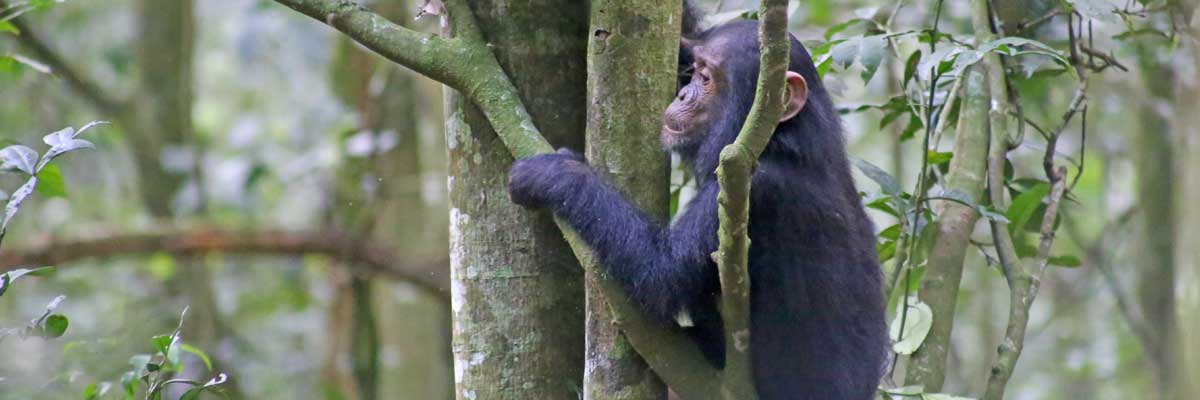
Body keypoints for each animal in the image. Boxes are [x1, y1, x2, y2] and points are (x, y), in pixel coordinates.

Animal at [506, 10, 892, 396]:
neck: (778, 141)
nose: (682, 94)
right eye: (692, 70)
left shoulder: (750, 190)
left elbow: (663, 273)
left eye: (706, 79)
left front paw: (552, 172)